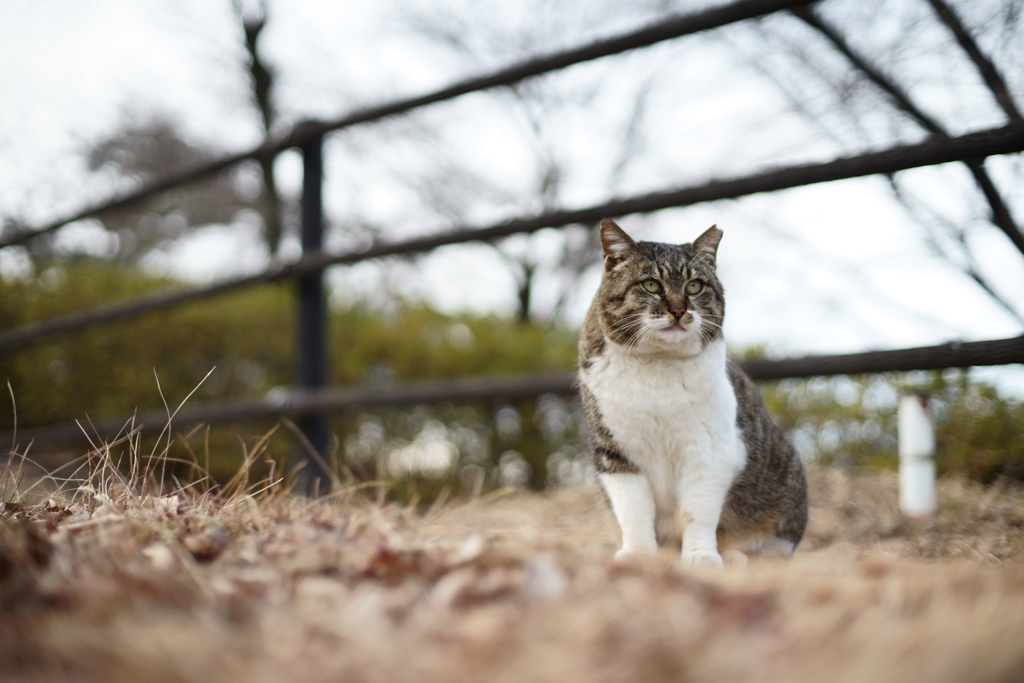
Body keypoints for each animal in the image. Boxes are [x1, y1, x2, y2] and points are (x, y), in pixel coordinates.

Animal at [581, 220, 802, 573]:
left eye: (695, 286)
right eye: (651, 284)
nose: (678, 309)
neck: (657, 367)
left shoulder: (710, 453)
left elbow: (698, 512)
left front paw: (701, 558)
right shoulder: (614, 453)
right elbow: (633, 511)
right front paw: (638, 554)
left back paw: (735, 556)